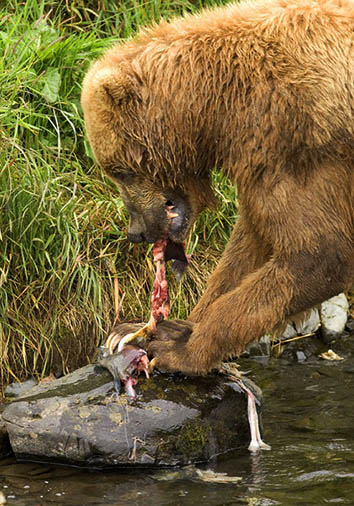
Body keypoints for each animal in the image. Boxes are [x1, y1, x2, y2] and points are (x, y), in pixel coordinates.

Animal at [81, 0, 354, 372]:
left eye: (119, 171)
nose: (136, 232)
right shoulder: (262, 157)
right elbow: (249, 246)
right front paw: (170, 326)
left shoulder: (302, 139)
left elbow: (319, 252)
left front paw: (180, 348)